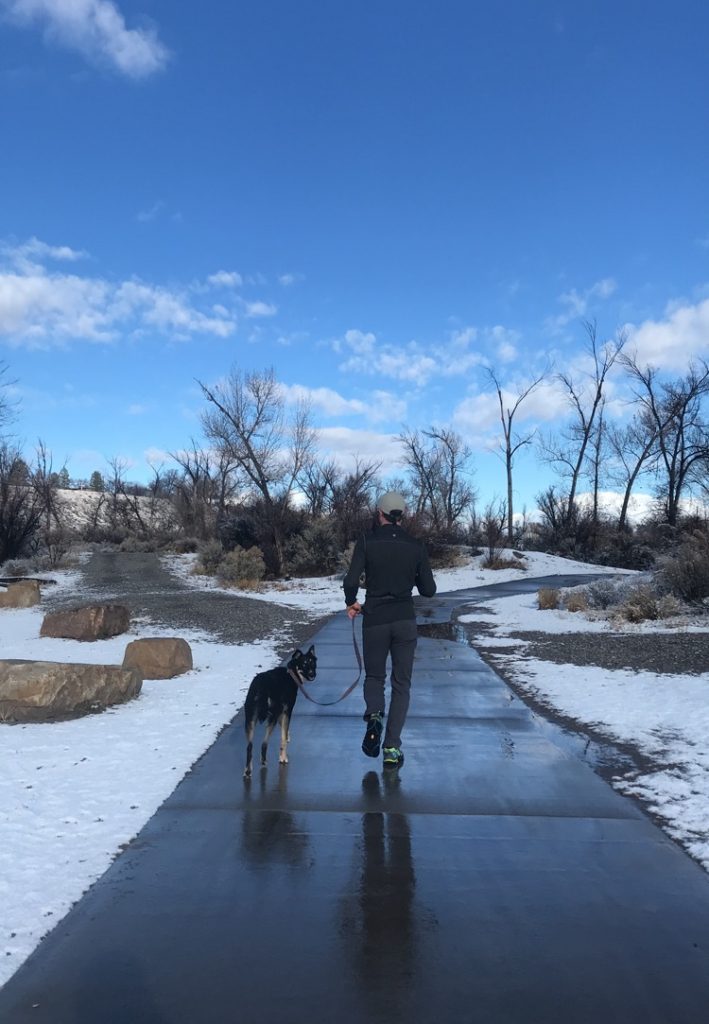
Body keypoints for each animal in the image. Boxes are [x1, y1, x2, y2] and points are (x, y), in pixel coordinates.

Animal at [243, 643, 315, 778]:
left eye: (313, 663)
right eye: (304, 664)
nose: (313, 674)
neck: (291, 674)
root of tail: (261, 687)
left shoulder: (282, 712)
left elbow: (284, 733)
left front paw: (288, 738)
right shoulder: (287, 711)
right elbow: (283, 738)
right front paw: (283, 757)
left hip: (250, 719)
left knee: (249, 746)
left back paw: (248, 770)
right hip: (272, 717)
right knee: (264, 743)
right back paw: (263, 761)